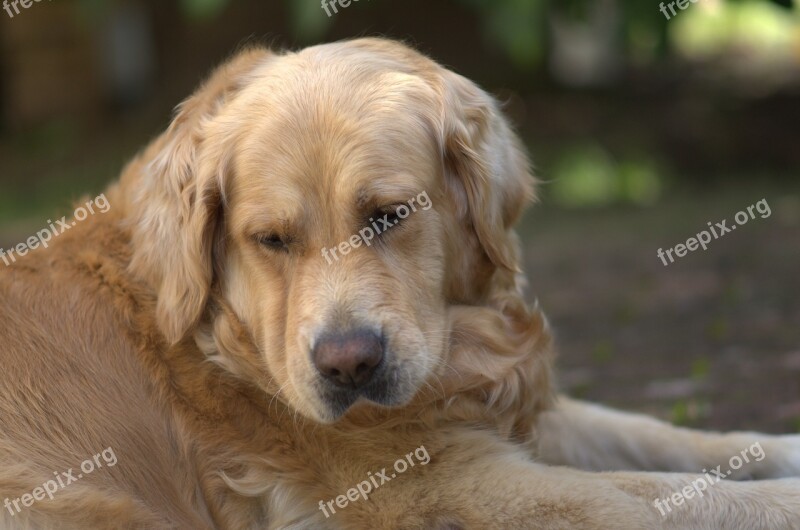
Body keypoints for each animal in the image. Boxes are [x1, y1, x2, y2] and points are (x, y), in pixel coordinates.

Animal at [1, 38, 800, 528]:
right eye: (271, 240)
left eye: (389, 215)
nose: (348, 364)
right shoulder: (446, 485)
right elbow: (671, 495)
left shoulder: (495, 412)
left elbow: (657, 437)